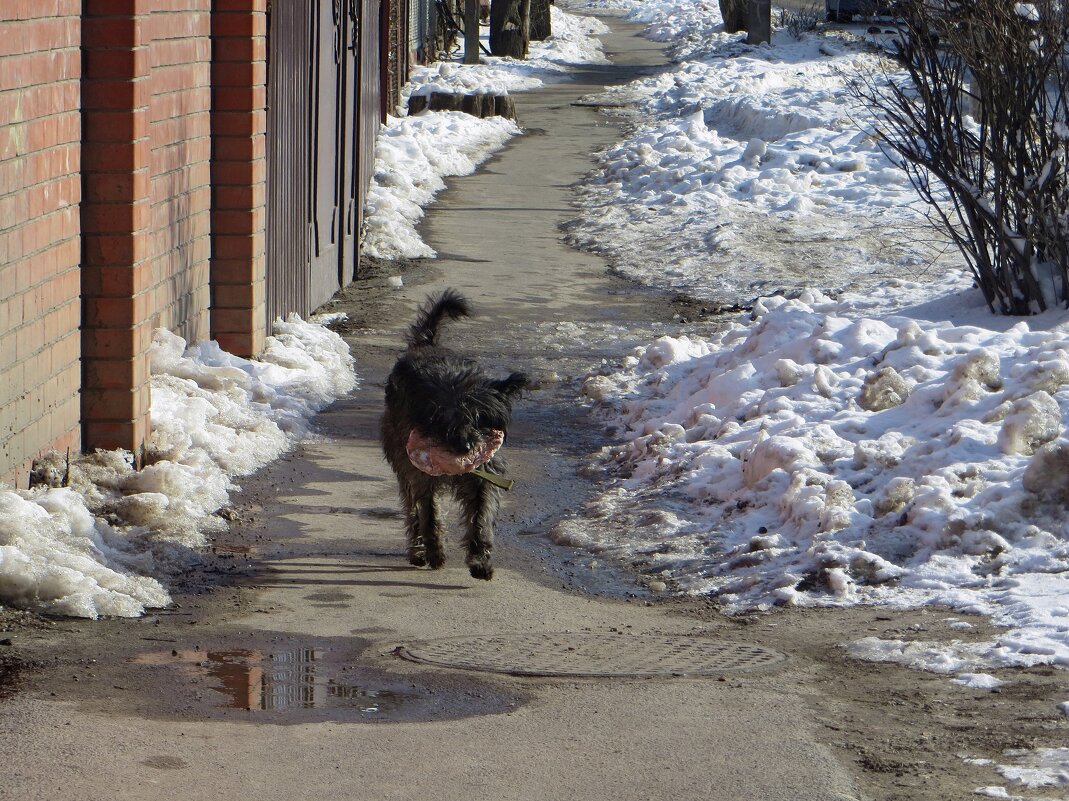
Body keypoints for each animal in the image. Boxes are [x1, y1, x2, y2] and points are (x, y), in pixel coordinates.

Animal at [382, 290, 528, 577]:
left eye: (482, 419)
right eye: (445, 420)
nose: (465, 447)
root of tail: (426, 344)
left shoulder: (484, 474)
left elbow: (481, 514)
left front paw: (480, 559)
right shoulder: (421, 474)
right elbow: (429, 513)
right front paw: (435, 552)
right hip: (401, 459)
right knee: (411, 509)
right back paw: (419, 551)